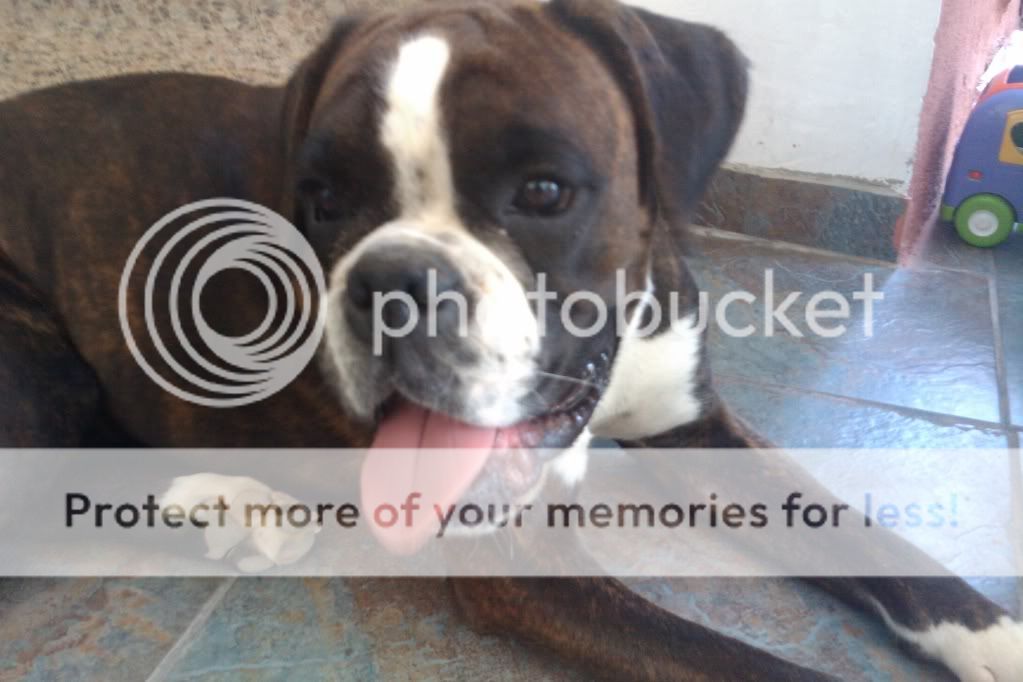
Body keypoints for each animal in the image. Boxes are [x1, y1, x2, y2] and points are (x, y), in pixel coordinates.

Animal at [1, 0, 1021, 679]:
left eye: (543, 191)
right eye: (321, 200)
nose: (392, 283)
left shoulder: (695, 430)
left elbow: (861, 536)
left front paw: (993, 636)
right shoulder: (523, 563)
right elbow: (745, 665)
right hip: (39, 373)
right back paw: (236, 503)